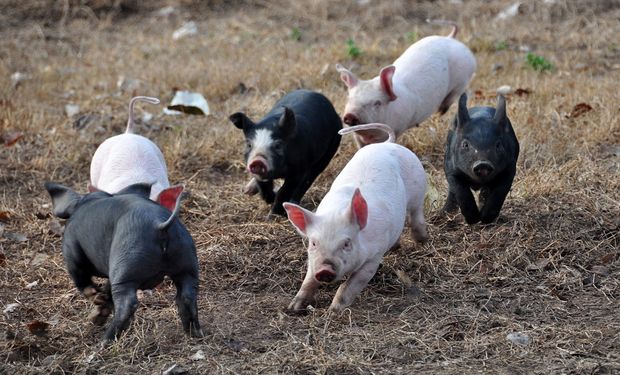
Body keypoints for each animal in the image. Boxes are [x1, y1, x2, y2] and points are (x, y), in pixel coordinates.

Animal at [44, 182, 203, 344]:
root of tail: (159, 226)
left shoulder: (72, 251)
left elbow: (81, 279)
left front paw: (95, 299)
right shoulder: (112, 271)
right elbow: (106, 290)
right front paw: (97, 313)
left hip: (125, 269)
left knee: (126, 304)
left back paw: (104, 341)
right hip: (187, 264)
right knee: (187, 296)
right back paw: (195, 334)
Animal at [230, 89, 342, 217]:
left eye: (278, 145)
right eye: (249, 145)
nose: (258, 160)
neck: (278, 173)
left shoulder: (297, 171)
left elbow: (284, 191)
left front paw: (272, 216)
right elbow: (264, 190)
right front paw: (271, 200)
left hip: (329, 150)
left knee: (310, 178)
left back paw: (293, 202)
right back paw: (248, 190)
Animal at [284, 124, 426, 314]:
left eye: (346, 243)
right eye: (313, 243)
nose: (325, 270)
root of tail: (387, 143)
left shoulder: (373, 258)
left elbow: (349, 285)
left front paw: (333, 311)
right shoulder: (313, 261)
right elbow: (309, 280)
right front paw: (294, 307)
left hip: (419, 189)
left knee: (416, 214)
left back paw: (422, 240)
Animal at [334, 20, 474, 147]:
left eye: (377, 103)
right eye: (349, 99)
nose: (350, 115)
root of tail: (450, 38)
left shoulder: (397, 128)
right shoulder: (357, 137)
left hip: (462, 80)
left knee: (451, 97)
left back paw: (440, 112)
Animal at [444, 93, 520, 225]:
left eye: (498, 145)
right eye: (465, 144)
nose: (483, 163)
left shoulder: (509, 169)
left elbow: (499, 193)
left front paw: (485, 220)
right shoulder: (450, 169)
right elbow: (461, 191)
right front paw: (473, 220)